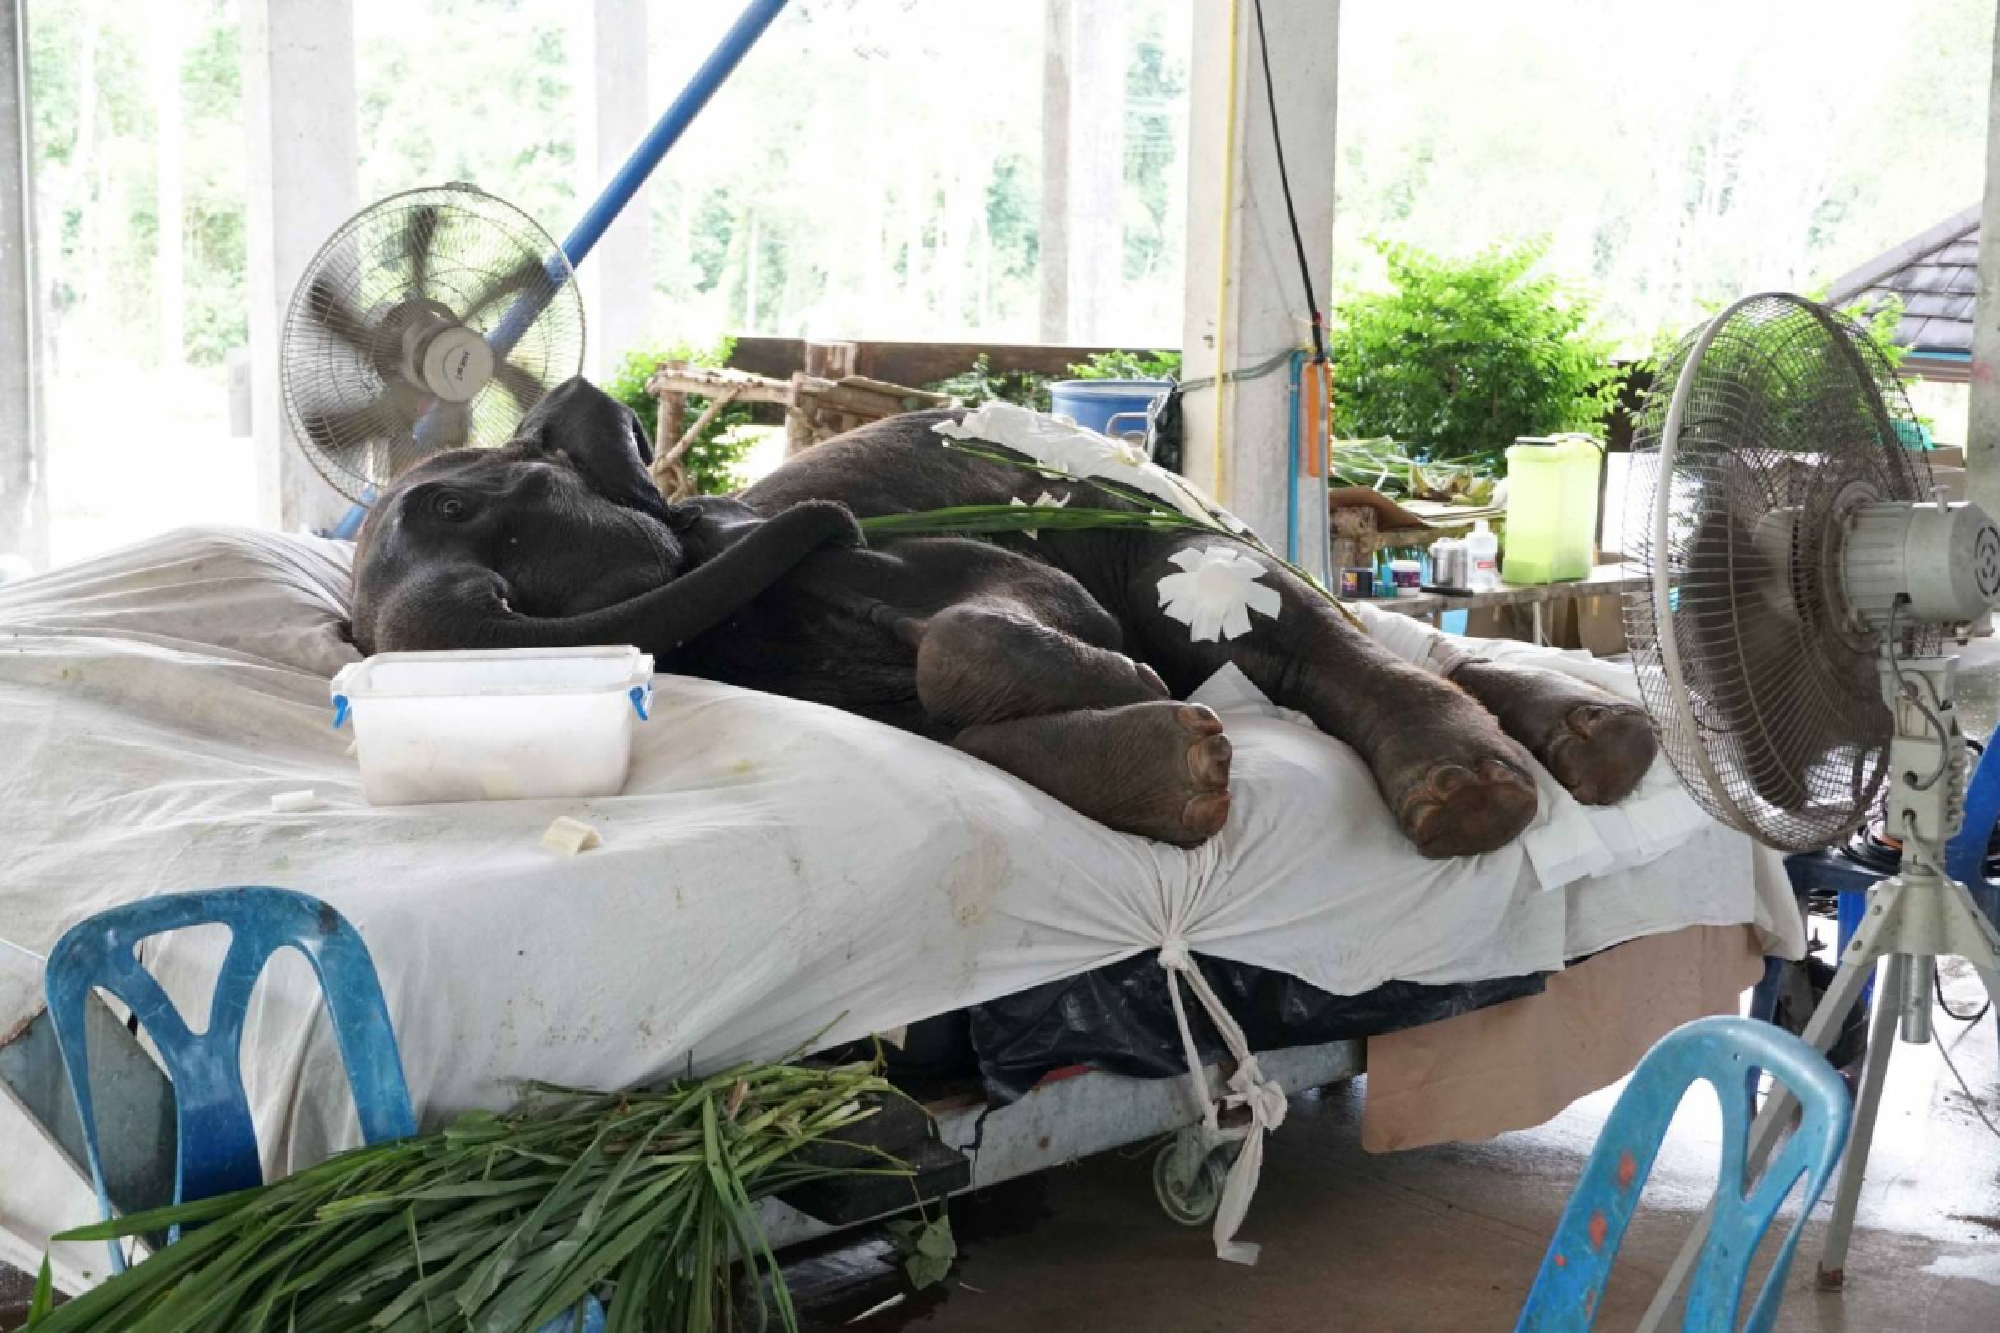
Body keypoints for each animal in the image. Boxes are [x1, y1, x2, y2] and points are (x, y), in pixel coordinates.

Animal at [351, 377, 1656, 857]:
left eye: (458, 506)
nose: (826, 518)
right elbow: (959, 725)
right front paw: (1173, 758)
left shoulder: (896, 556)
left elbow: (1001, 623)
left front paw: (1125, 681)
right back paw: (1598, 745)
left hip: (1175, 524)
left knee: (1293, 628)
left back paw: (1481, 795)